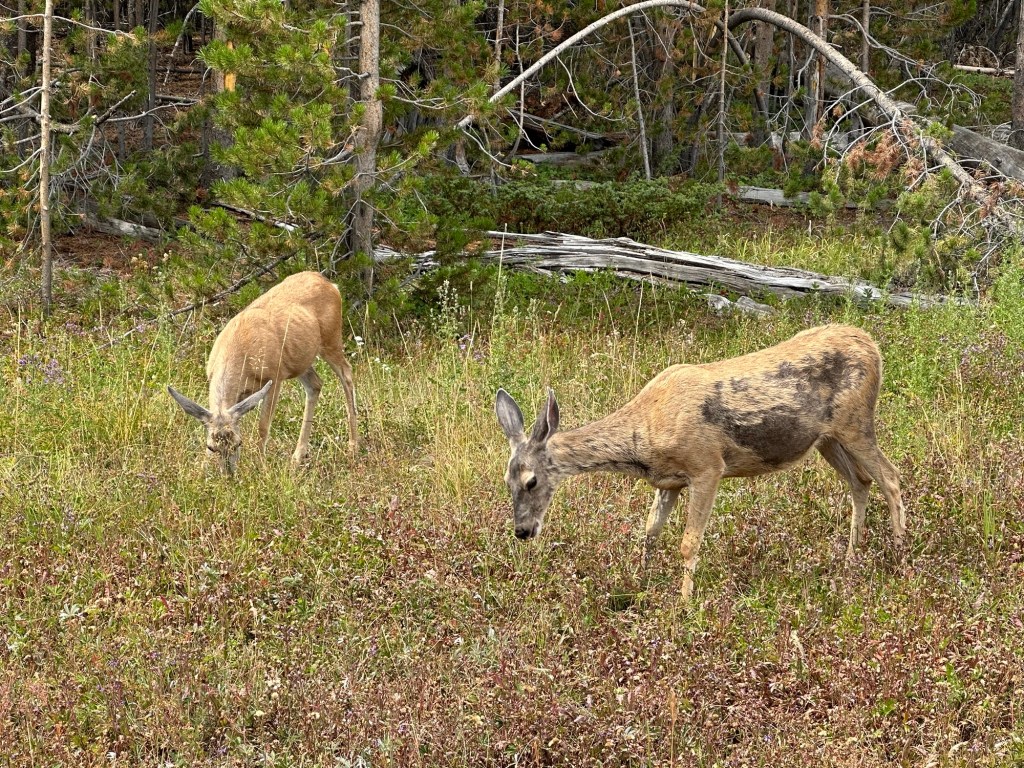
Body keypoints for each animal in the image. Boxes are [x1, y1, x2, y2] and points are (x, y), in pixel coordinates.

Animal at [168, 271, 359, 476]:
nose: (229, 475)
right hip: (300, 359)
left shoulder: (275, 377)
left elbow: (263, 426)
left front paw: (260, 465)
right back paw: (297, 457)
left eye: (238, 443)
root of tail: (329, 283)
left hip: (331, 340)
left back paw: (353, 447)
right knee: (315, 384)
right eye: (211, 447)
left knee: (347, 373)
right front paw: (203, 469)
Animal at [494, 324, 906, 601]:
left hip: (855, 422)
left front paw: (685, 603)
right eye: (506, 481)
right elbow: (650, 532)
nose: (522, 531)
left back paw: (900, 559)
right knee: (861, 482)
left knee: (890, 477)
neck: (646, 434)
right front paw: (640, 583)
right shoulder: (669, 481)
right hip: (827, 439)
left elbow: (689, 543)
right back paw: (851, 559)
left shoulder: (707, 466)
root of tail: (873, 346)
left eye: (531, 481)